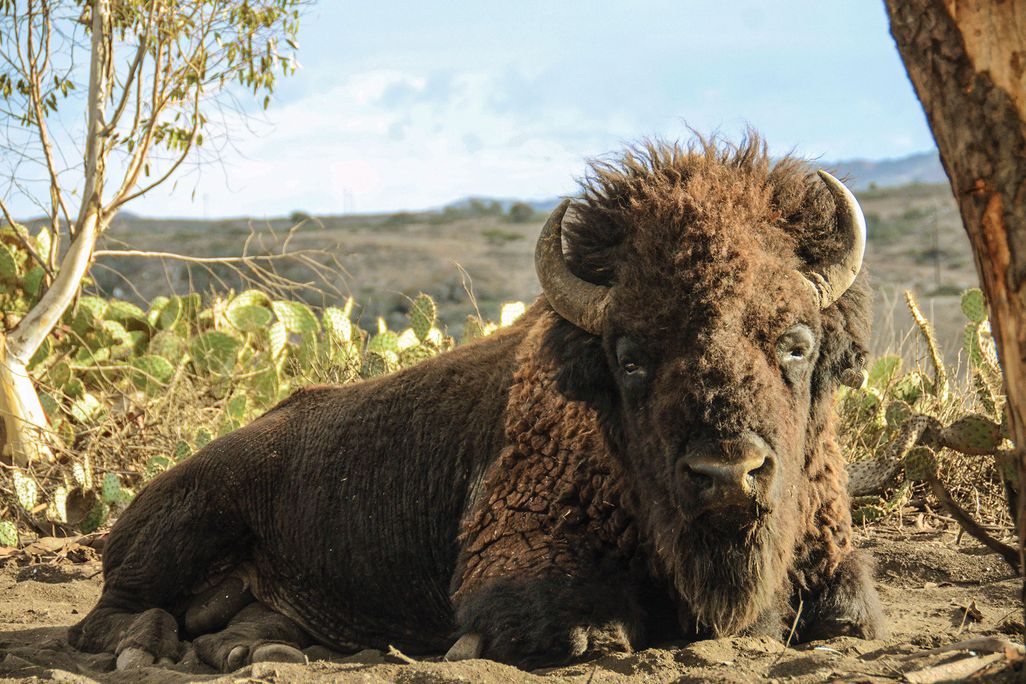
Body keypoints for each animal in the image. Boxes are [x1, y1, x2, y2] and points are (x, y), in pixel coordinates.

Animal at [69, 133, 884, 671]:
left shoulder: (832, 558)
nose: (726, 475)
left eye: (796, 343)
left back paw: (247, 649)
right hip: (182, 526)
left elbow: (849, 617)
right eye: (630, 357)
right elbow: (577, 628)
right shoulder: (509, 564)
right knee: (104, 617)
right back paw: (150, 648)